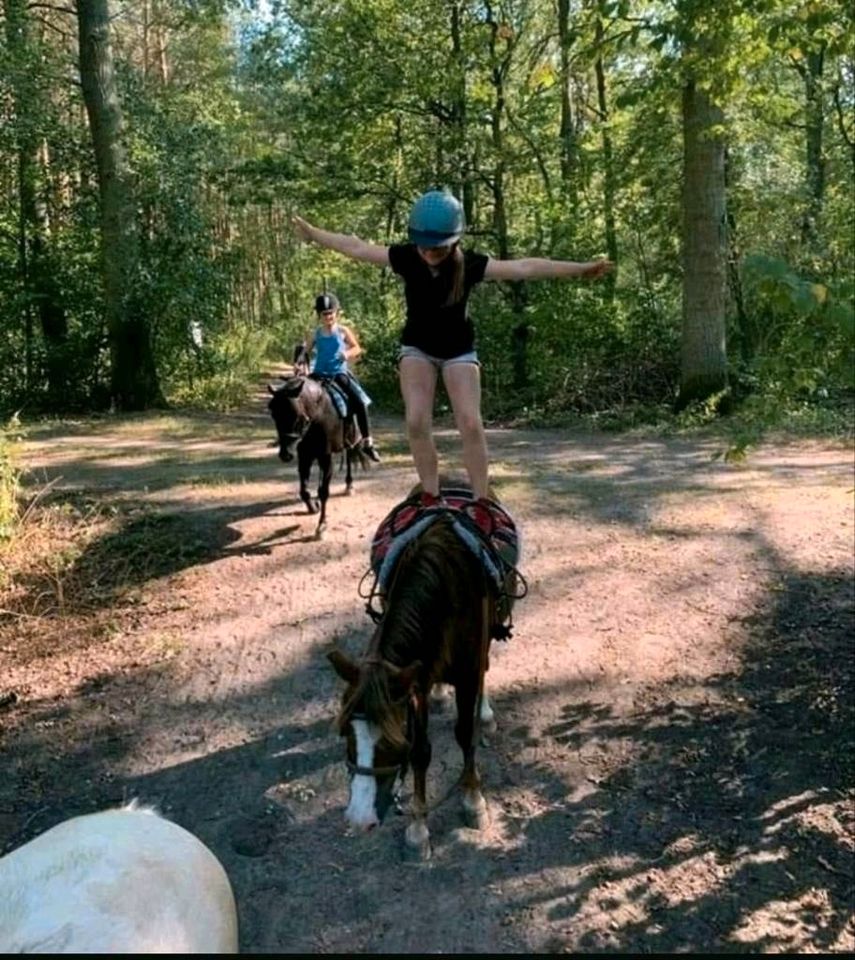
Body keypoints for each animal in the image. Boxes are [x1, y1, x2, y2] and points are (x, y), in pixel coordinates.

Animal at [266, 376, 362, 540]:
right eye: (274, 415)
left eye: (296, 415)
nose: (286, 454)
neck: (319, 415)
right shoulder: (305, 456)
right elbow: (304, 491)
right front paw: (313, 507)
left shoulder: (326, 458)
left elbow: (323, 492)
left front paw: (321, 526)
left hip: (349, 441)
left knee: (349, 459)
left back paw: (349, 486)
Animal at [330, 506, 516, 860]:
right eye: (347, 732)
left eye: (391, 743)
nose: (360, 820)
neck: (444, 591)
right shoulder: (415, 684)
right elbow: (420, 751)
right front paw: (418, 830)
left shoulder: (467, 673)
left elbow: (465, 733)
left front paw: (473, 801)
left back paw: (485, 716)